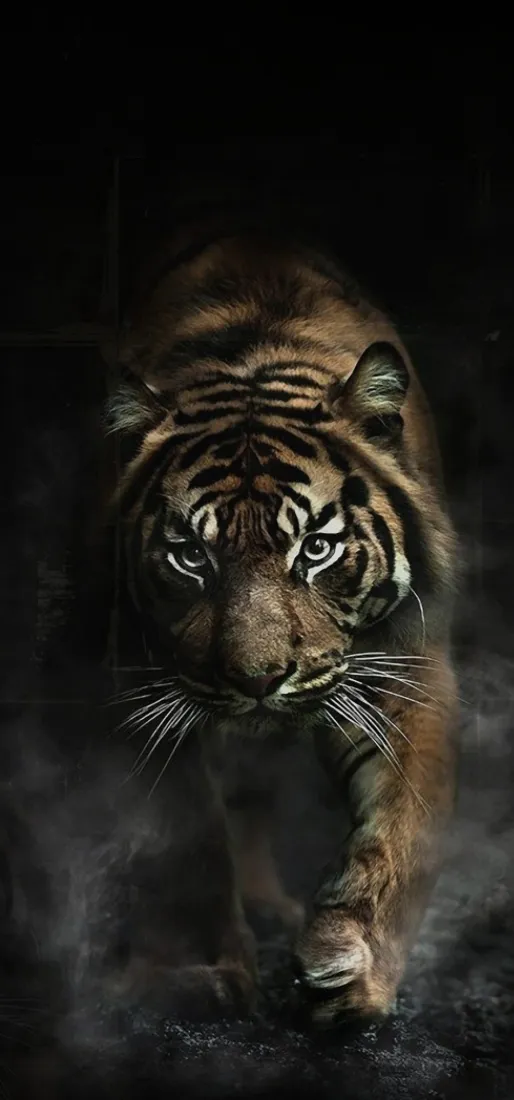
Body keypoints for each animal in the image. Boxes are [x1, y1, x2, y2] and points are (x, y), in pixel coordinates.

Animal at [100, 203, 459, 1029]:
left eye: (317, 548)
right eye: (190, 557)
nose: (259, 680)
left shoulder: (407, 663)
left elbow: (404, 824)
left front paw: (352, 967)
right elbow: (190, 834)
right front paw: (202, 971)